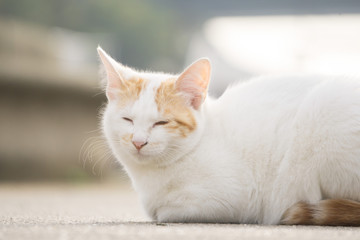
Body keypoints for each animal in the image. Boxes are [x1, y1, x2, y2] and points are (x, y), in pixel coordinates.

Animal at [96, 46, 360, 225]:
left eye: (161, 122)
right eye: (127, 120)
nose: (138, 142)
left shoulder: (235, 199)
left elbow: (166, 211)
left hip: (324, 106)